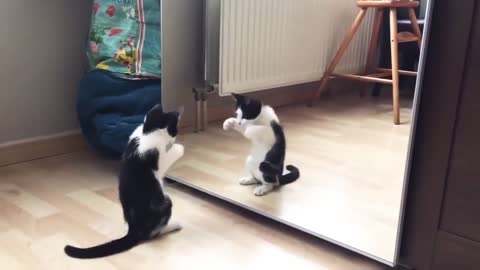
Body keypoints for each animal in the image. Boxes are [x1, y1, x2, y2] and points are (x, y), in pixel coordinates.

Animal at [66, 104, 187, 258]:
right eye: (174, 130)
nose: (174, 138)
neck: (147, 132)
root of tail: (133, 229)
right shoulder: (159, 157)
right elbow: (171, 155)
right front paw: (179, 147)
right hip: (165, 202)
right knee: (152, 233)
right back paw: (174, 225)